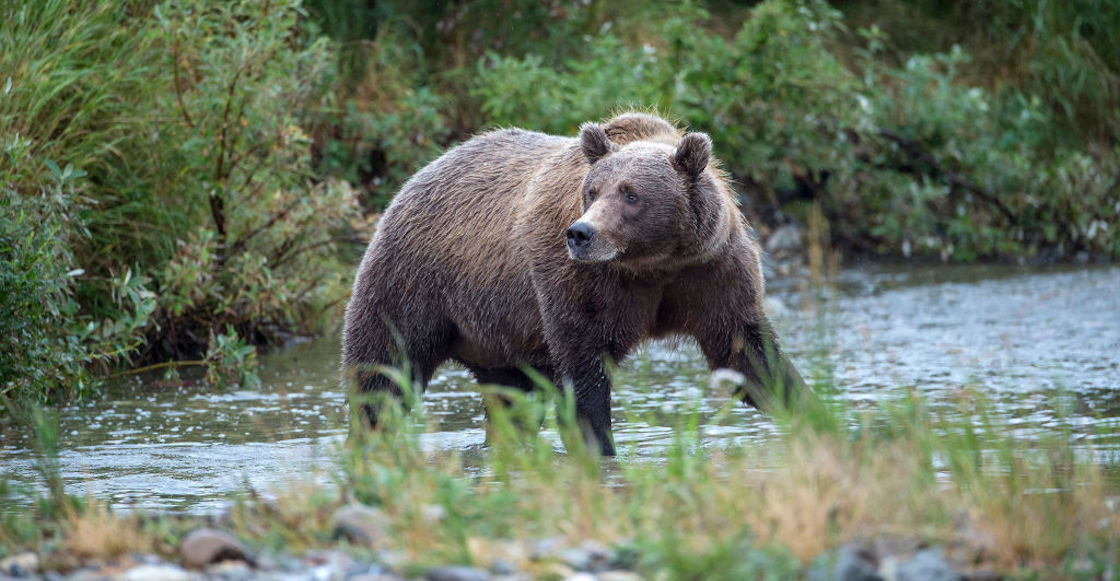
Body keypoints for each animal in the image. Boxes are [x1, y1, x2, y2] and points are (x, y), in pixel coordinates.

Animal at [342, 112, 810, 456]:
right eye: (592, 190)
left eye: (631, 193)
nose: (582, 233)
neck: (651, 264)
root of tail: (417, 175)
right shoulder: (582, 285)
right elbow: (583, 365)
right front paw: (598, 445)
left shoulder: (710, 272)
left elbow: (747, 352)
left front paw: (808, 408)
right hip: (414, 284)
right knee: (384, 371)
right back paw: (367, 438)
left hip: (501, 335)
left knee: (512, 398)